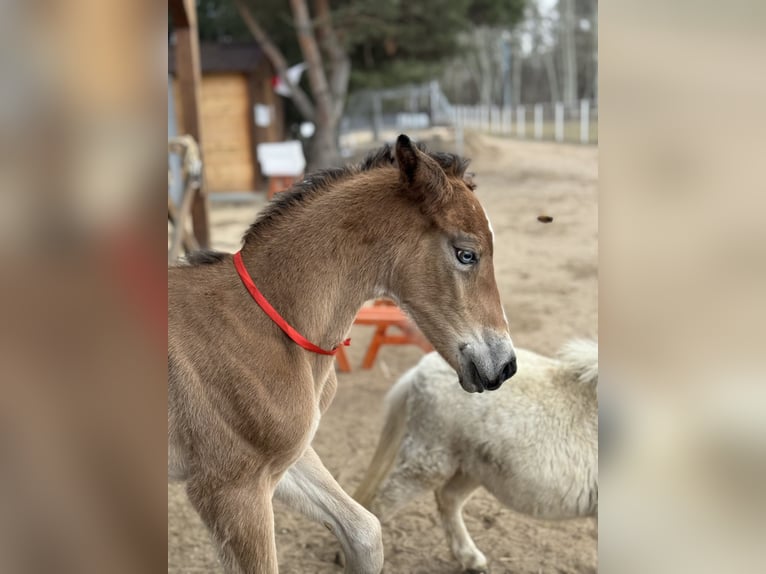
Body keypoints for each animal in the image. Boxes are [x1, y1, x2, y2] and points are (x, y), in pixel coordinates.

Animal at [168, 134, 517, 573]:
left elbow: (365, 532)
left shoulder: (289, 459)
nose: (505, 366)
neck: (265, 324)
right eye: (466, 253)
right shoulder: (231, 488)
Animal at [354, 340, 598, 574]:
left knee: (447, 498)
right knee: (382, 504)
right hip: (428, 460)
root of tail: (421, 368)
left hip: (473, 468)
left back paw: (471, 559)